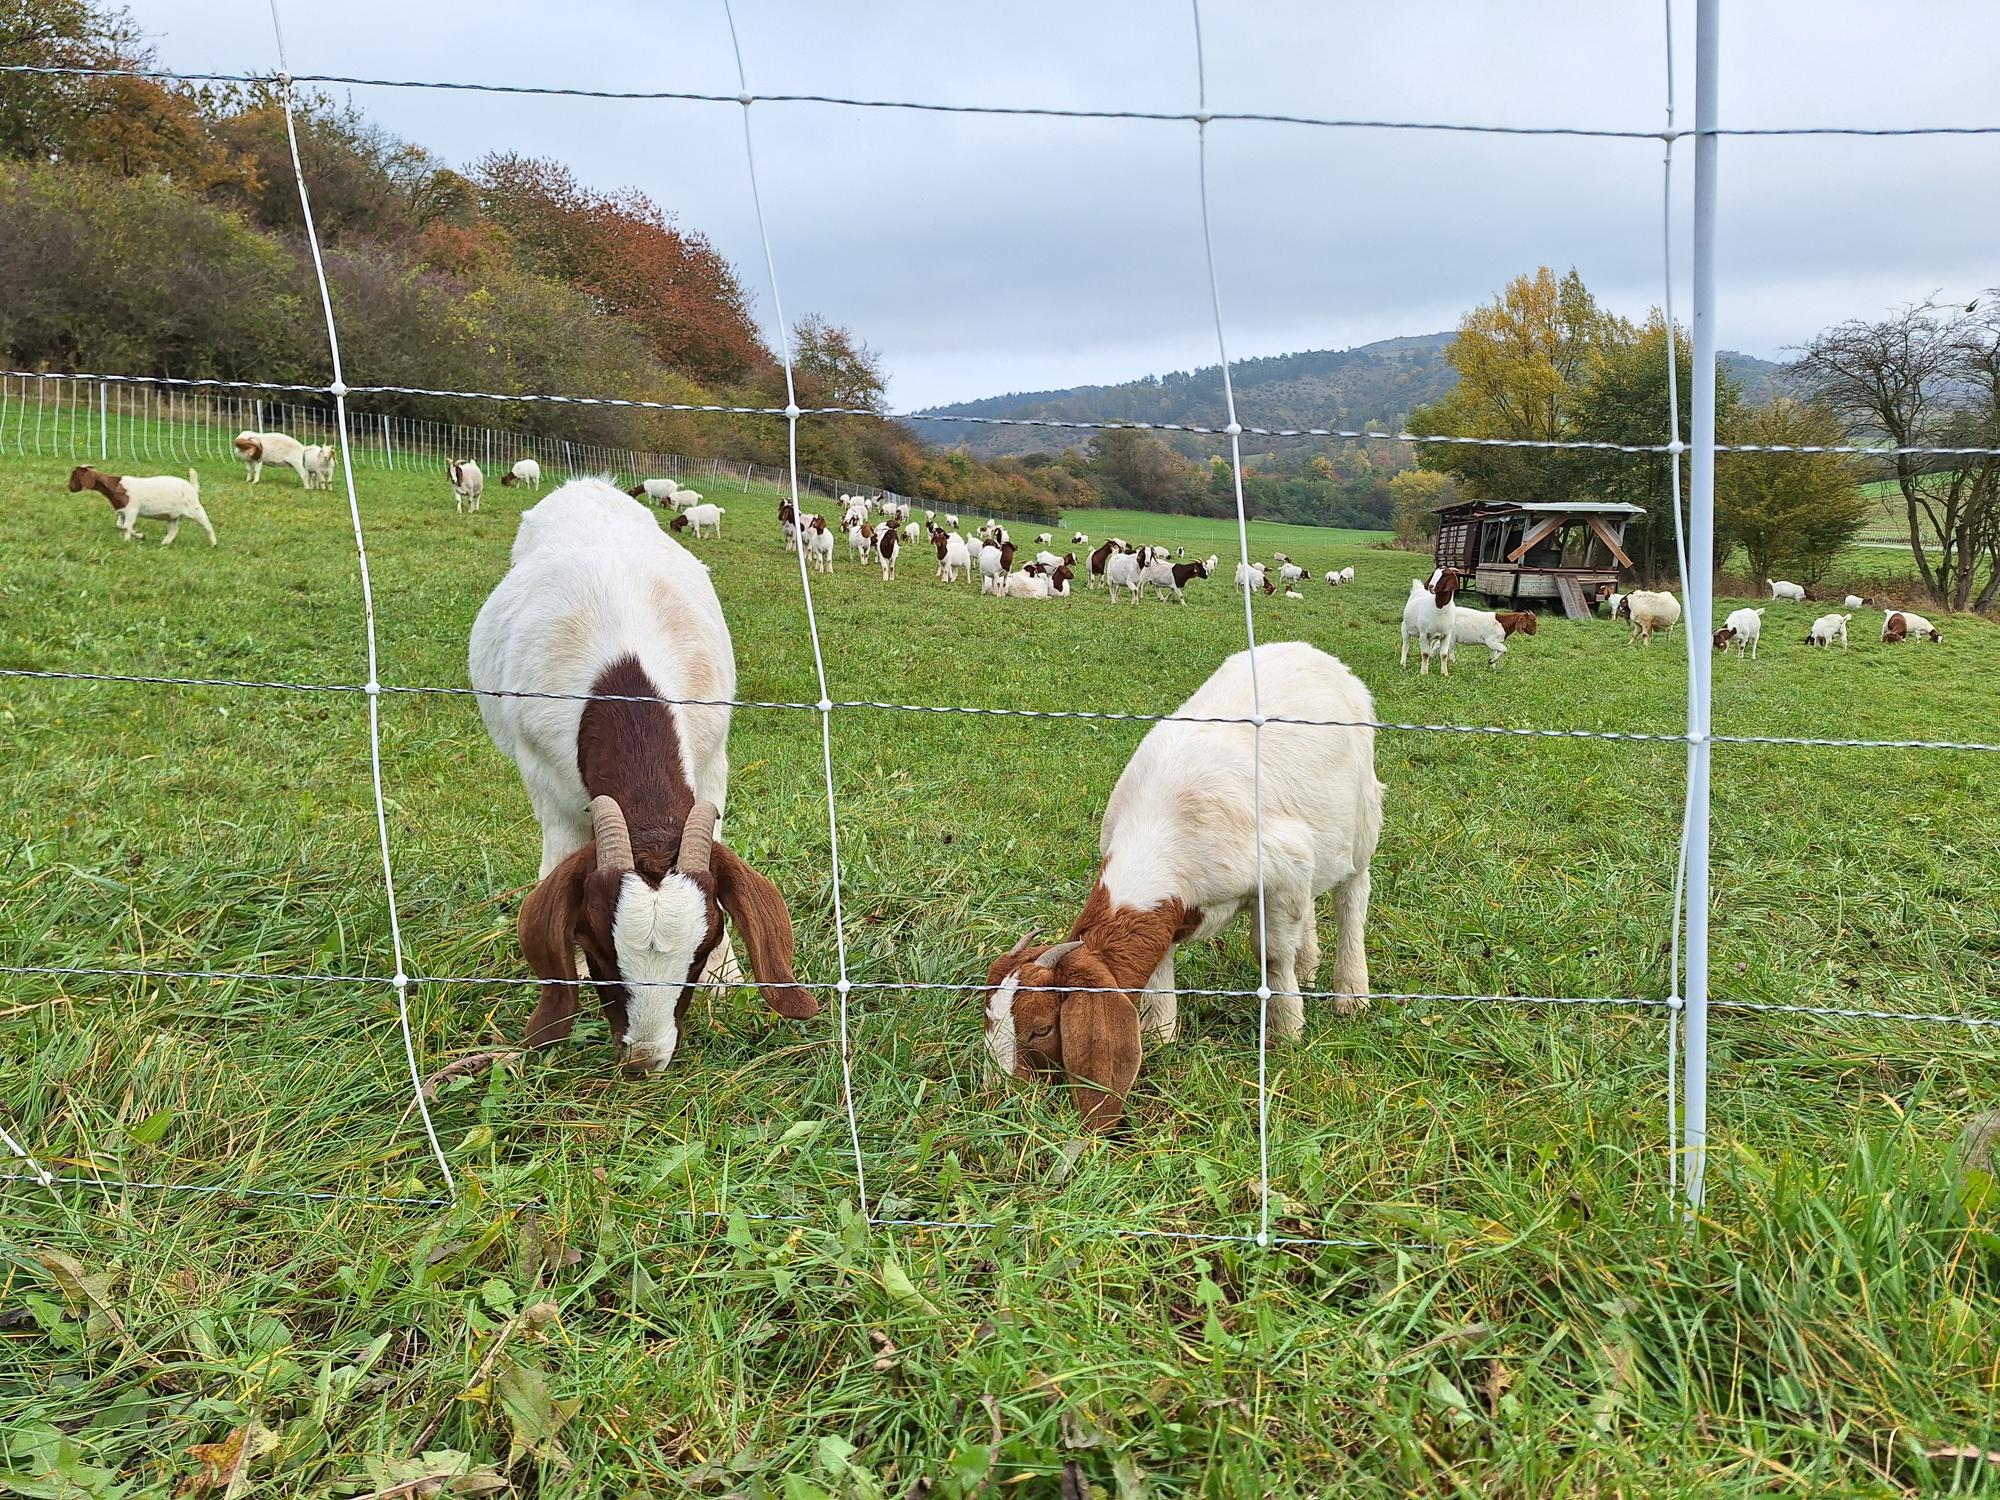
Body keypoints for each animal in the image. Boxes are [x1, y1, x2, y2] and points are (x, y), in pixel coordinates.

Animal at [68, 464, 216, 546]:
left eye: (75, 476)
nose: (69, 488)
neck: (116, 486)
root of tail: (192, 487)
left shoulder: (132, 510)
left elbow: (126, 527)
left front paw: (127, 541)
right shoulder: (122, 511)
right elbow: (120, 526)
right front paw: (140, 535)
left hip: (195, 509)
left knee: (207, 525)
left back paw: (214, 544)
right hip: (172, 516)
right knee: (173, 530)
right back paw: (164, 544)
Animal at [468, 479, 814, 1070]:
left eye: (701, 949)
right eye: (594, 946)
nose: (644, 1060)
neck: (626, 674)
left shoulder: (712, 755)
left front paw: (726, 976)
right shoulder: (545, 780)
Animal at [982, 642, 1382, 1129]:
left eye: (1040, 1028)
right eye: (988, 1019)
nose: (999, 1095)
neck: (1163, 825)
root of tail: (1307, 650)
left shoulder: (1281, 869)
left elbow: (1270, 956)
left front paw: (1287, 1029)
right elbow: (1160, 967)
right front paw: (1160, 1035)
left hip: (1362, 816)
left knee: (1352, 896)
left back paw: (1351, 992)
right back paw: (1308, 965)